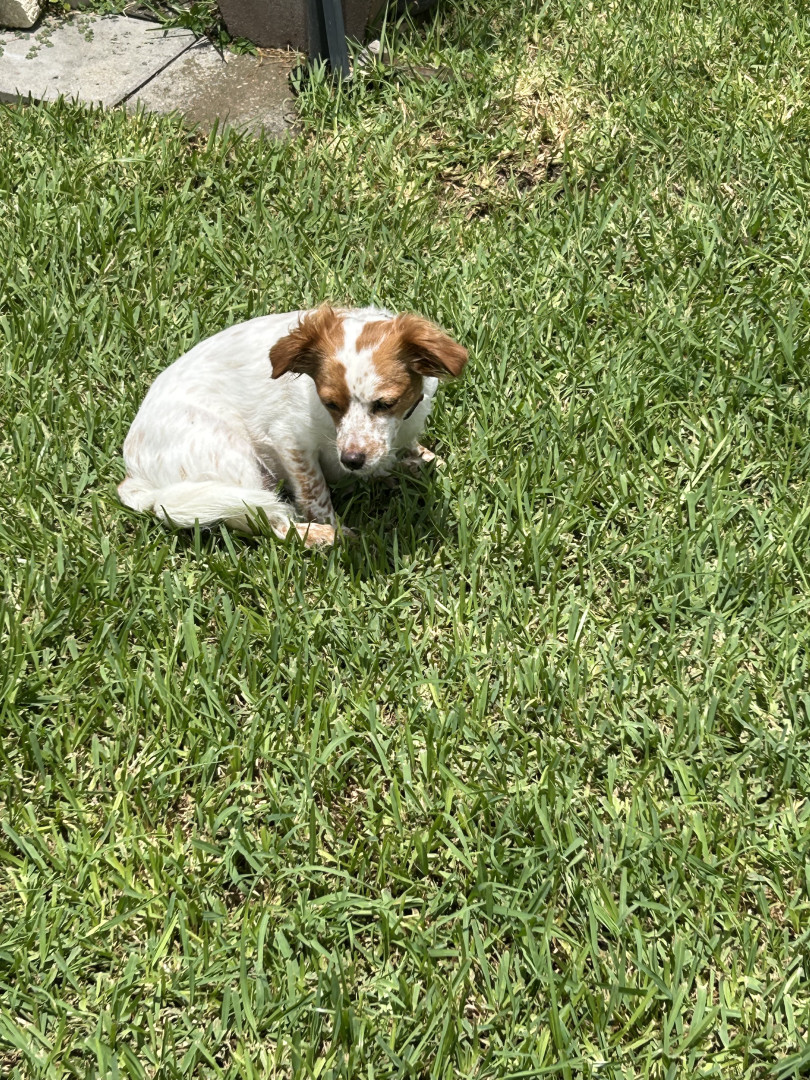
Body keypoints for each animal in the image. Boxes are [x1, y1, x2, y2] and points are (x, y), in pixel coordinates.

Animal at [118, 305, 467, 545]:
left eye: (385, 404)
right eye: (330, 403)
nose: (352, 461)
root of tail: (137, 478)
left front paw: (421, 461)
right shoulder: (290, 440)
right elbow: (315, 493)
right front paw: (334, 529)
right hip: (229, 458)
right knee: (268, 521)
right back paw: (322, 538)